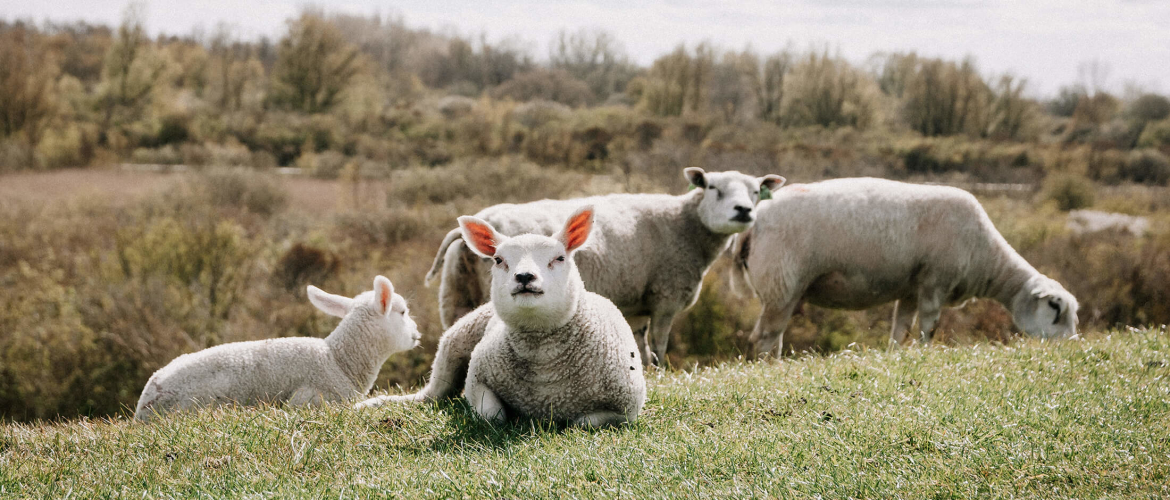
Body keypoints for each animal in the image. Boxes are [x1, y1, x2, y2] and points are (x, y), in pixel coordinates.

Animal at [355, 206, 650, 428]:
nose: (524, 277)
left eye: (559, 258)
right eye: (498, 260)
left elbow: (581, 423)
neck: (545, 370)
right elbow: (491, 416)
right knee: (431, 397)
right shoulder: (477, 378)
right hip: (453, 345)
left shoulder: (627, 409)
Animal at [425, 168, 781, 362]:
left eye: (755, 192)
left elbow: (640, 344)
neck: (685, 225)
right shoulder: (666, 296)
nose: (743, 211)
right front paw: (662, 370)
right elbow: (659, 344)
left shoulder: (637, 304)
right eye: (712, 187)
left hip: (455, 297)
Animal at [725, 176, 1081, 355]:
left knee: (771, 336)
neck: (987, 259)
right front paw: (925, 353)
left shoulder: (911, 287)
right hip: (782, 282)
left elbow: (901, 329)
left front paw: (897, 355)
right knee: (764, 337)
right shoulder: (936, 280)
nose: (1072, 346)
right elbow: (928, 326)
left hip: (781, 290)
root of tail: (752, 224)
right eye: (1054, 308)